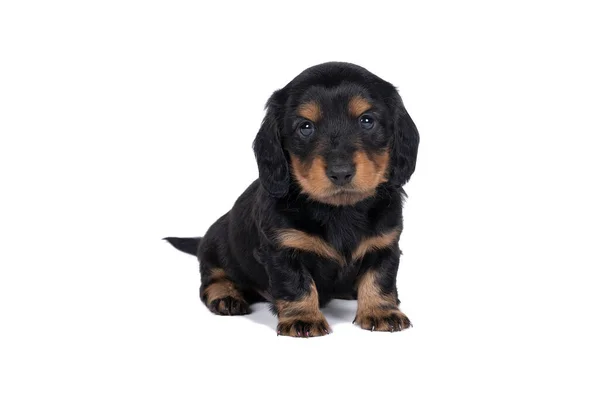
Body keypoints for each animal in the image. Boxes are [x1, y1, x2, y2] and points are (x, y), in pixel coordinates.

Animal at [162, 61, 420, 338]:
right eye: (305, 127)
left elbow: (379, 278)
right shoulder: (283, 249)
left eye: (367, 120)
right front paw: (303, 318)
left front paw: (381, 312)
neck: (339, 210)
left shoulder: (385, 243)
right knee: (212, 279)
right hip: (216, 246)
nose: (340, 172)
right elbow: (297, 284)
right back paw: (226, 296)